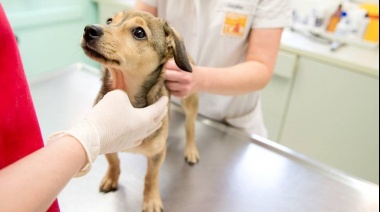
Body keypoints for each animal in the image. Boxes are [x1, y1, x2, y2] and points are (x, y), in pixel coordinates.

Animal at [81, 9, 200, 210]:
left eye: (139, 32)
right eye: (109, 20)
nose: (90, 29)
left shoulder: (156, 156)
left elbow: (151, 177)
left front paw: (151, 200)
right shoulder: (106, 143)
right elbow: (114, 161)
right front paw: (111, 178)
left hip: (189, 98)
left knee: (190, 127)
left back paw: (191, 150)